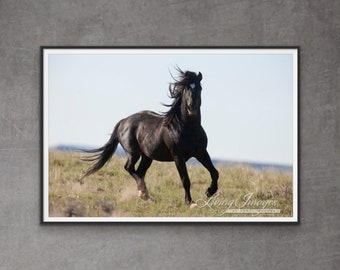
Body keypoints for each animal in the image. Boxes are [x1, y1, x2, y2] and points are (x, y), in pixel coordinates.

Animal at [83, 69, 220, 205]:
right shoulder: (178, 156)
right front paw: (190, 202)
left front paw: (209, 192)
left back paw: (146, 196)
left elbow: (215, 173)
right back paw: (144, 192)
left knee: (139, 172)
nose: (192, 107)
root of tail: (123, 121)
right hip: (133, 153)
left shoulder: (201, 152)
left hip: (147, 156)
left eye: (200, 88)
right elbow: (185, 179)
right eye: (186, 88)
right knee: (129, 168)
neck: (188, 129)